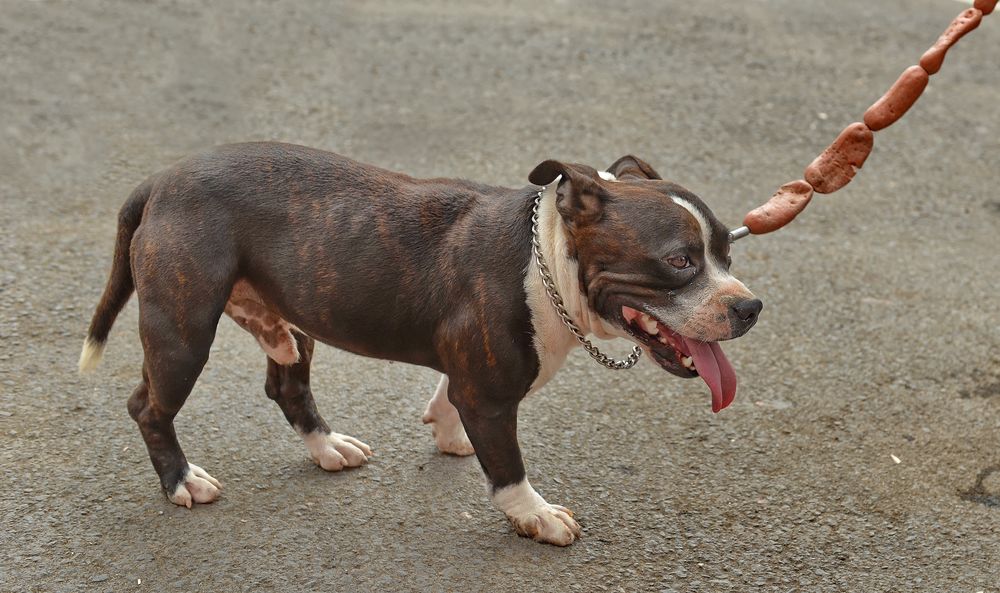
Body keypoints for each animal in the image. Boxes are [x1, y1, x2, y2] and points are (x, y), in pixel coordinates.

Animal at [80, 141, 756, 544]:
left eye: (727, 252)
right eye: (679, 261)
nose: (750, 306)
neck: (544, 257)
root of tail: (160, 181)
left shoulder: (471, 374)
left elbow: (450, 396)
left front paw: (449, 430)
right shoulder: (491, 395)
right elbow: (508, 466)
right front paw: (534, 514)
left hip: (289, 324)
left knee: (285, 384)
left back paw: (328, 446)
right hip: (182, 332)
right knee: (148, 407)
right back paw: (181, 481)